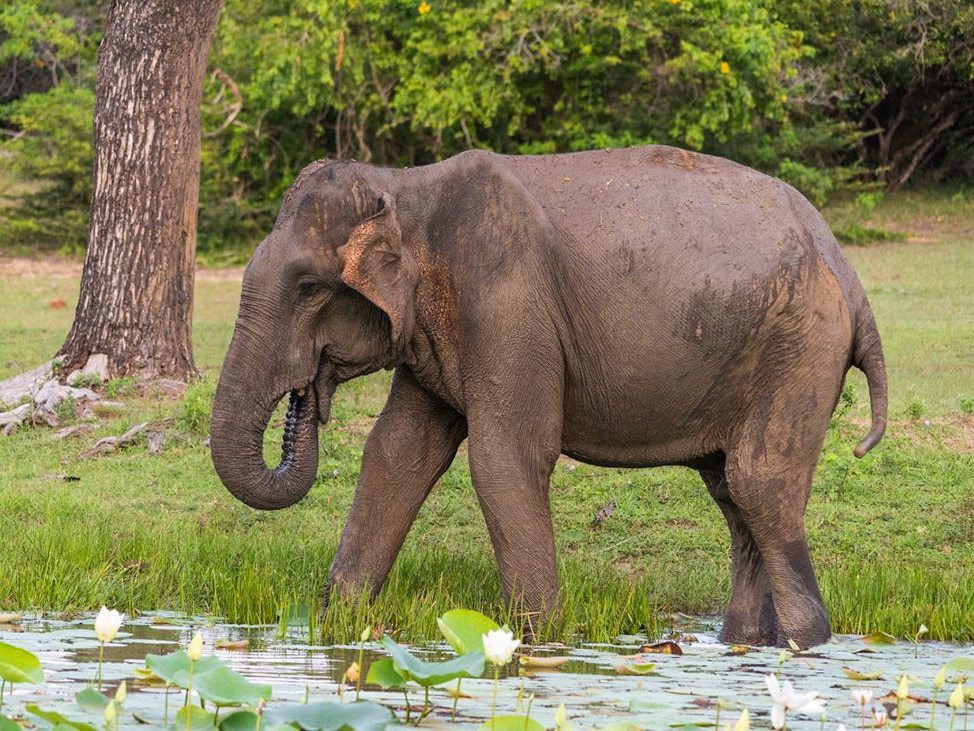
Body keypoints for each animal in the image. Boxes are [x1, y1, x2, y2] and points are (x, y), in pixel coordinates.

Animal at [210, 145, 887, 648]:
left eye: (306, 287)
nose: (305, 399)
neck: (406, 186)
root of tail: (847, 270)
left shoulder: (508, 304)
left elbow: (504, 458)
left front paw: (537, 641)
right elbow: (397, 454)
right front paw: (337, 629)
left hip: (799, 350)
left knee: (758, 483)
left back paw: (806, 644)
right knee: (732, 494)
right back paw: (746, 643)